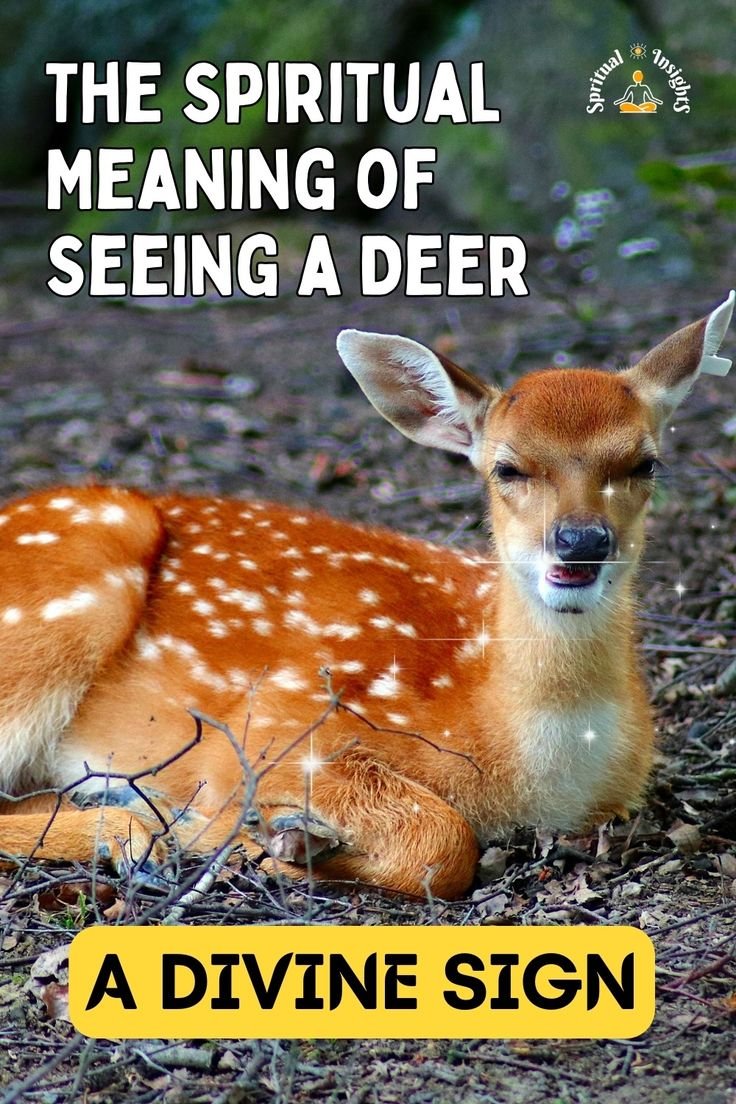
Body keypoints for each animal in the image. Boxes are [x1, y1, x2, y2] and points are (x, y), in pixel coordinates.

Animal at [0, 292, 733, 899]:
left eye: (644, 463)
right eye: (507, 468)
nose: (581, 542)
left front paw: (290, 843)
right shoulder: (270, 725)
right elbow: (444, 843)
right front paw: (261, 840)